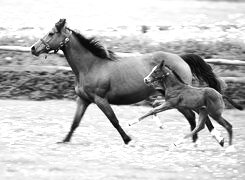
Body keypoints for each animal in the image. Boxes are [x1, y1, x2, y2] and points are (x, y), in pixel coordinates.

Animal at [31, 18, 225, 145]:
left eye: (51, 33)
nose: (33, 48)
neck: (91, 66)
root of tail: (181, 57)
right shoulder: (84, 99)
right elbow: (75, 122)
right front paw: (64, 140)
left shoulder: (100, 100)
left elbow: (114, 120)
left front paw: (128, 139)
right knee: (194, 117)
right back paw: (196, 140)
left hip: (180, 98)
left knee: (197, 116)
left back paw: (214, 139)